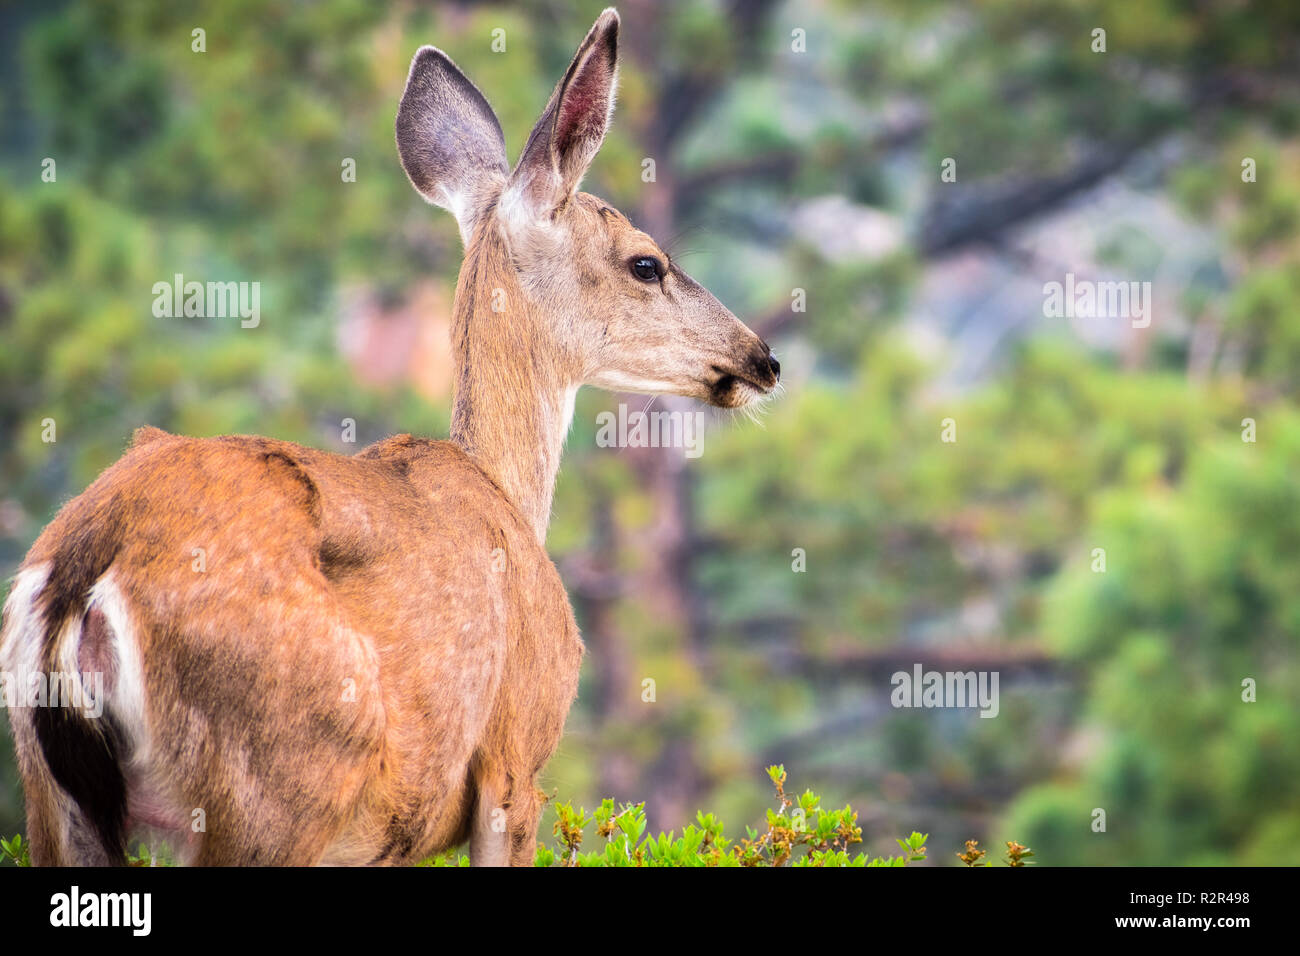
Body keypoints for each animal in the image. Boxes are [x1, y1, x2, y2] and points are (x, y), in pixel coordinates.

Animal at [0, 7, 774, 868]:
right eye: (646, 263)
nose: (761, 358)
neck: (504, 490)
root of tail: (82, 574)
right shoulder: (515, 762)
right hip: (274, 790)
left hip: (54, 796)